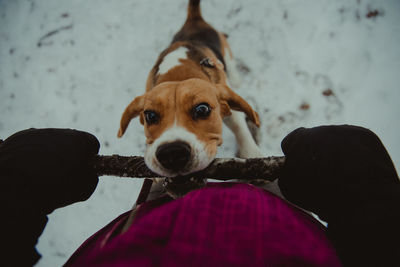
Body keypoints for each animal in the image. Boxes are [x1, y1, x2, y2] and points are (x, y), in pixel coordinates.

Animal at [117, 0, 264, 180]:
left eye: (202, 109)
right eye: (150, 115)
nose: (172, 154)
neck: (179, 75)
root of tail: (194, 19)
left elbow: (239, 127)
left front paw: (252, 153)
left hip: (226, 53)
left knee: (230, 64)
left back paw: (235, 78)